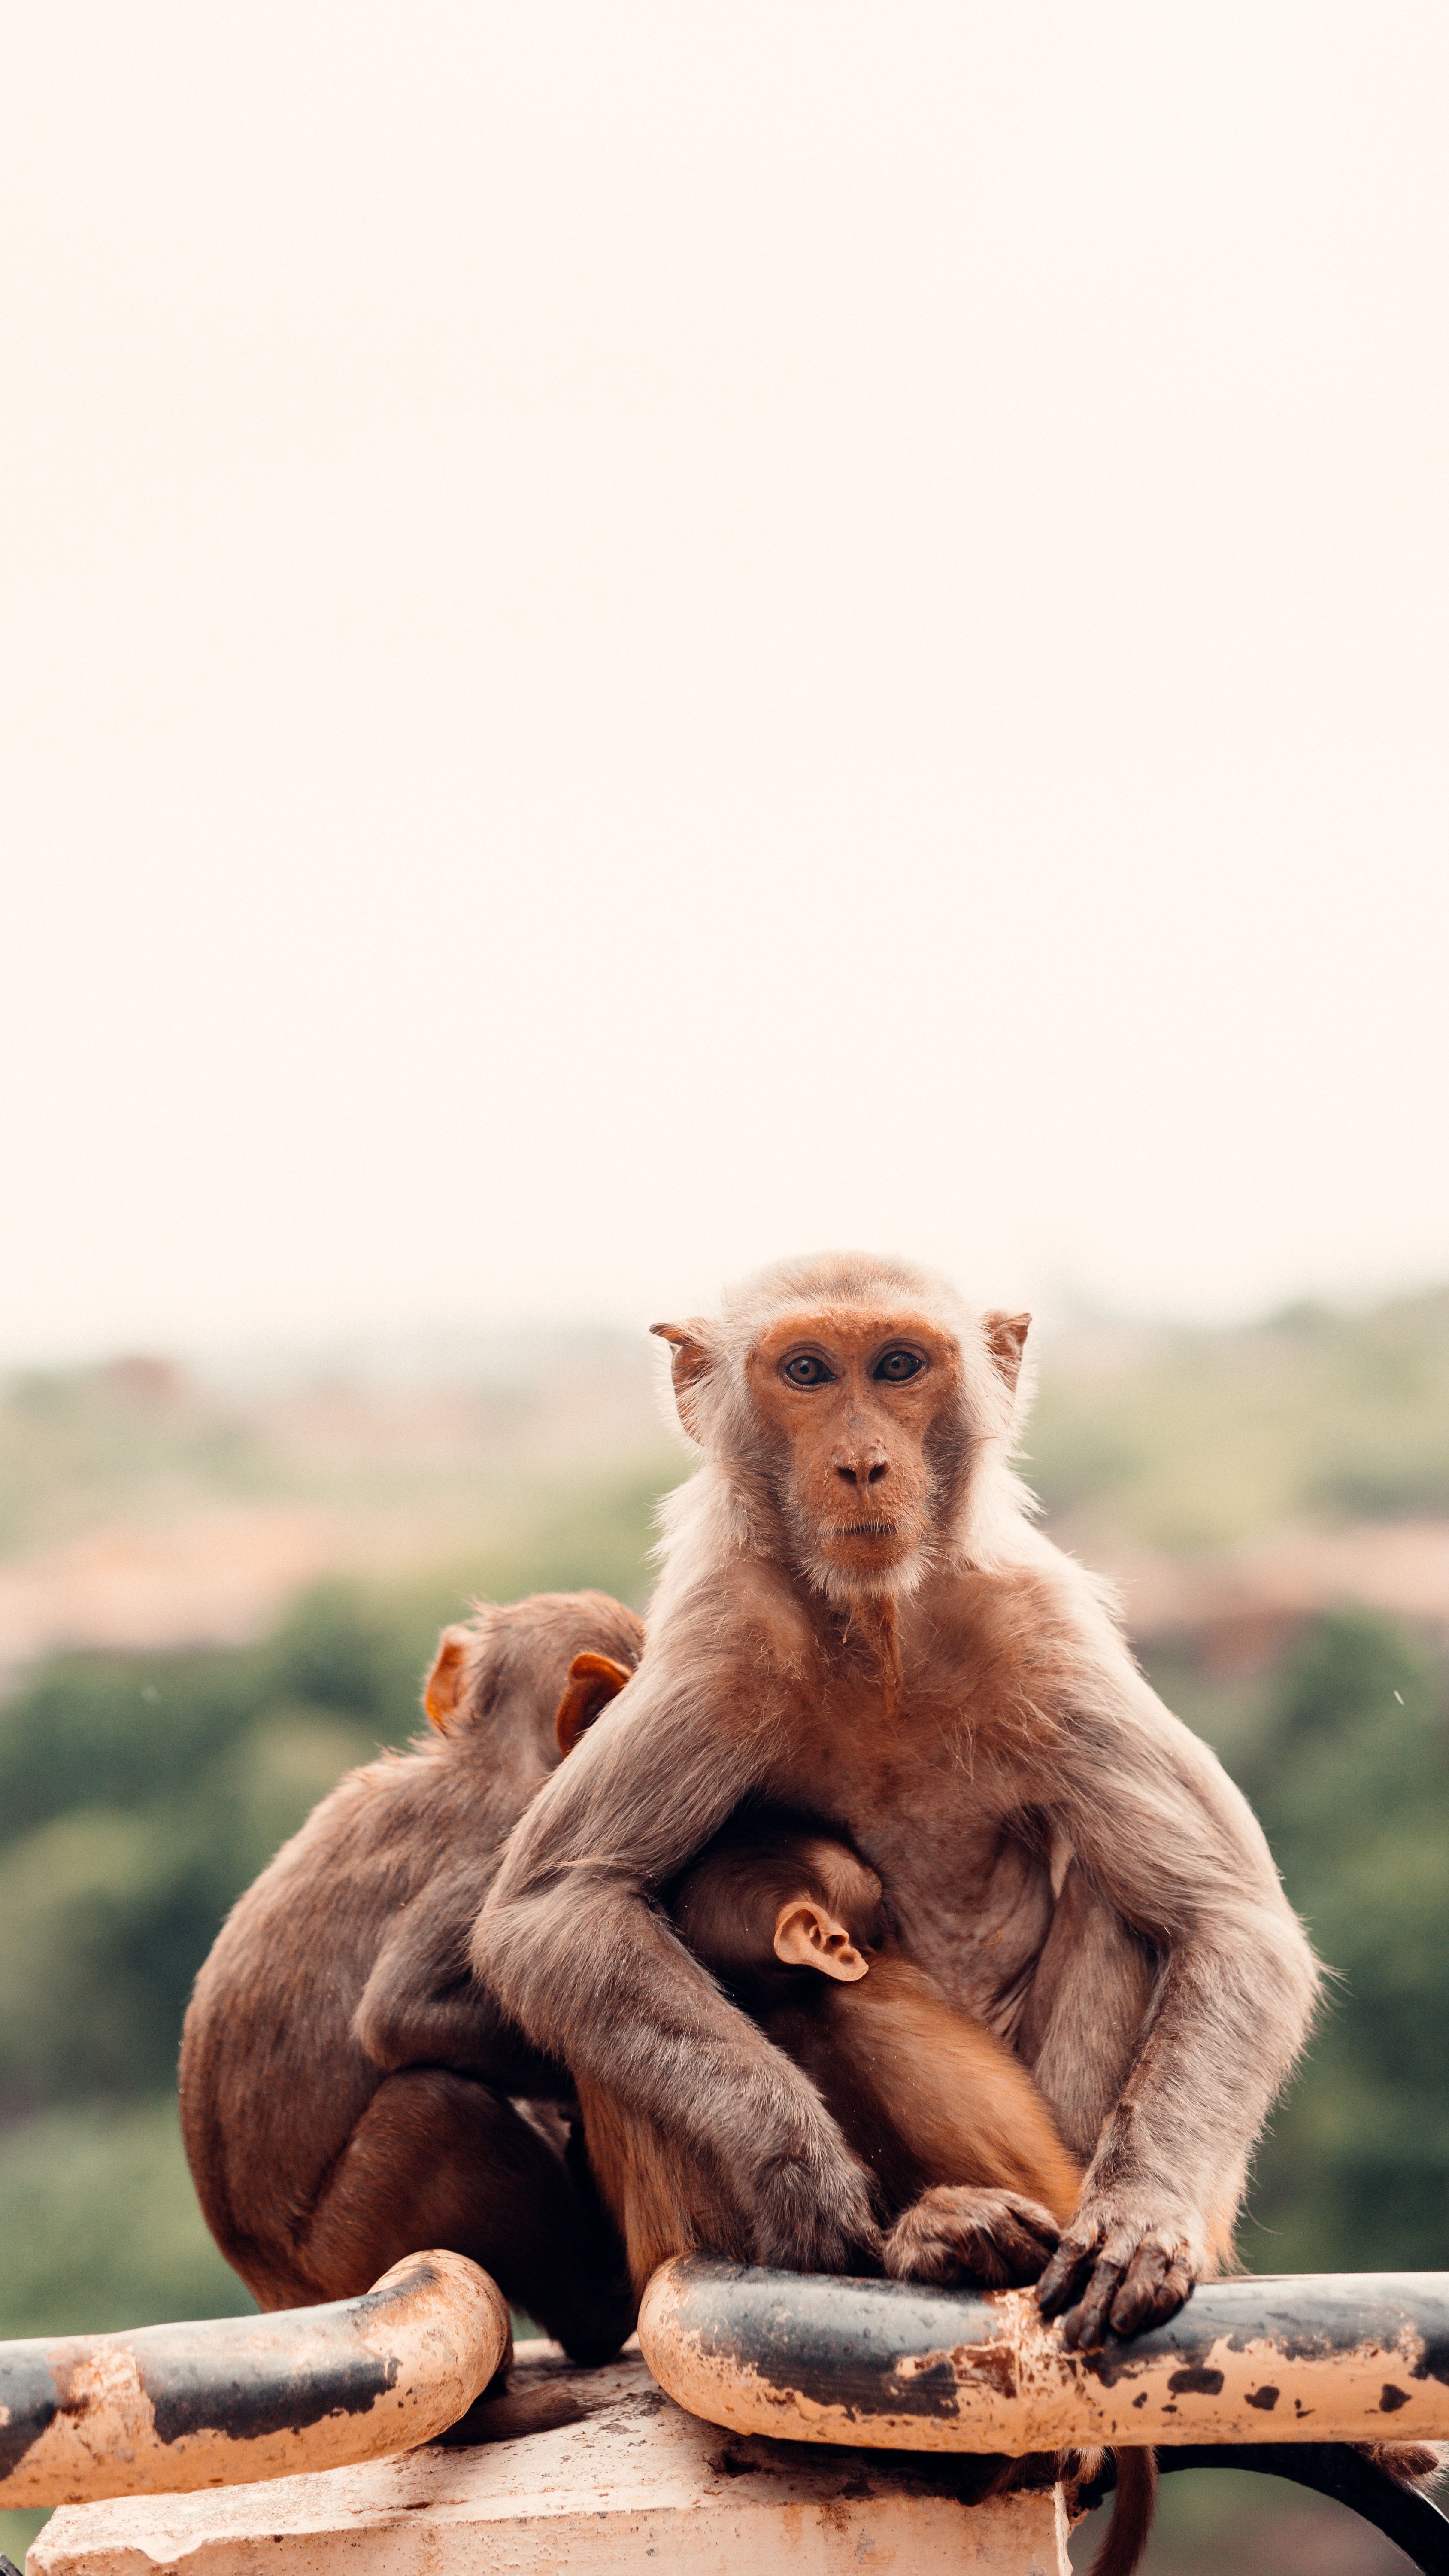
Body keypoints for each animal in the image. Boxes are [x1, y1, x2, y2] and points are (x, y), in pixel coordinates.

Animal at [179, 1590, 642, 2364]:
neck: (492, 1763)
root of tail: (286, 2299)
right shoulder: (502, 1856)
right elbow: (401, 2015)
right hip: (361, 2242)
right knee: (439, 2108)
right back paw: (602, 2312)